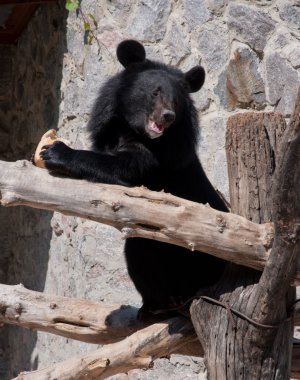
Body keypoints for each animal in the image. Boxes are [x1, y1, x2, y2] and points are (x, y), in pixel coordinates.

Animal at [41, 40, 226, 320]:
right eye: (155, 93)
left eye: (177, 100)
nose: (167, 116)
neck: (130, 129)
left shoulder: (160, 159)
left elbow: (123, 169)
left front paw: (55, 152)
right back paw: (152, 307)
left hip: (193, 264)